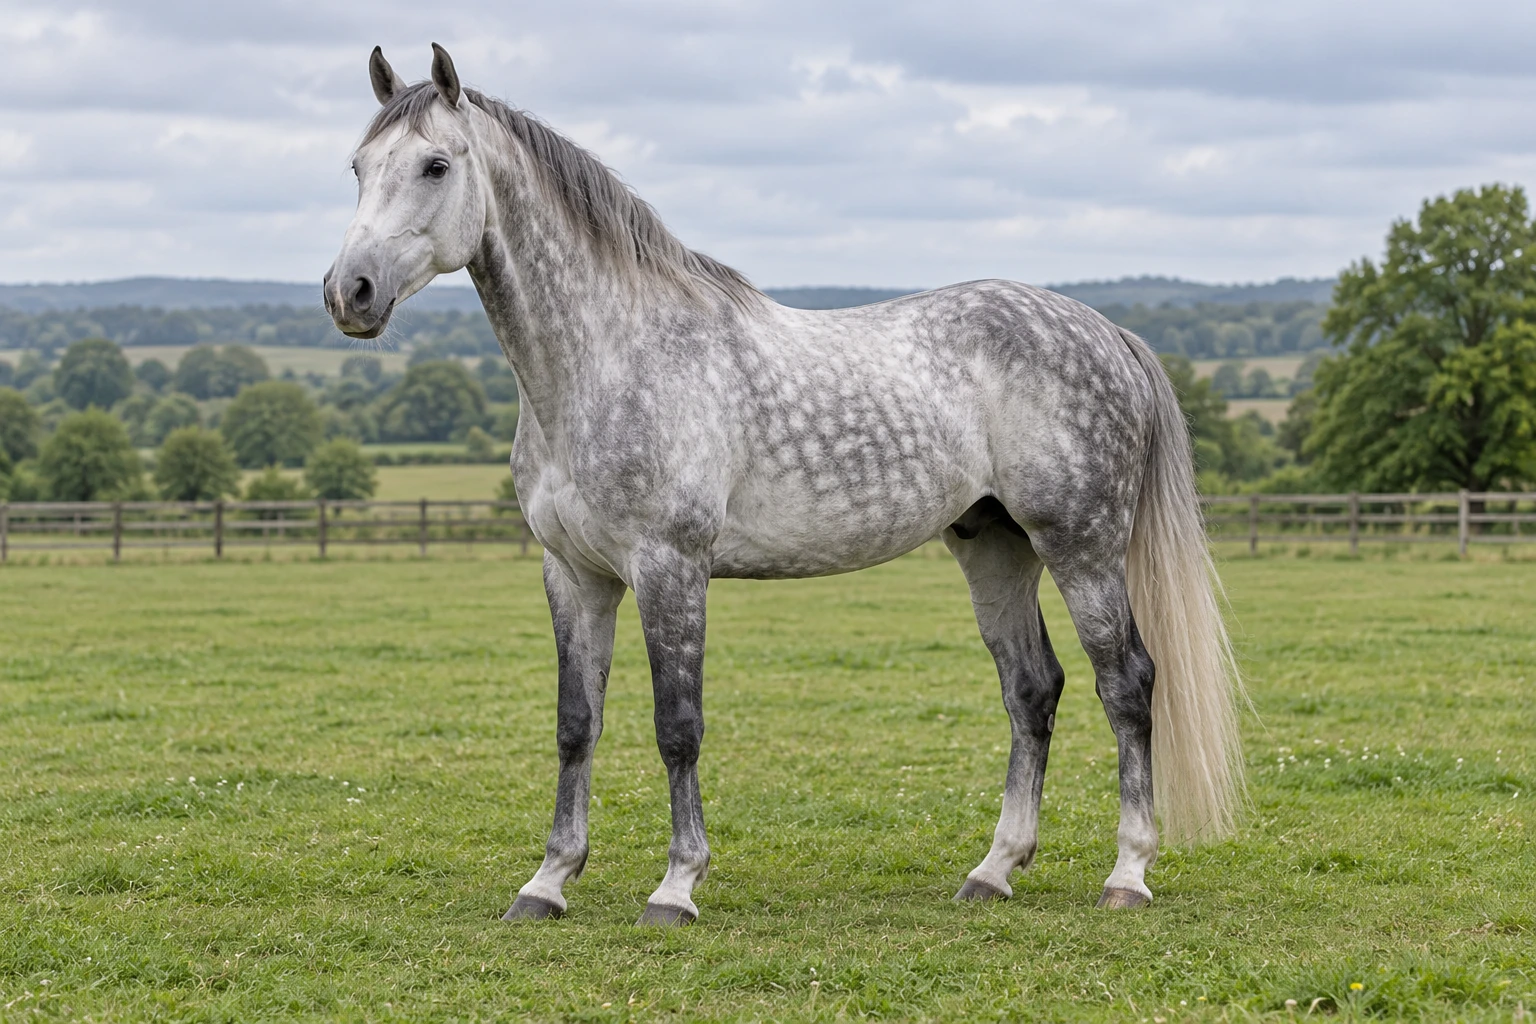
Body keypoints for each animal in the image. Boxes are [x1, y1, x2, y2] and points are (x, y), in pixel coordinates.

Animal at [325, 45, 1244, 927]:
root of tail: (1107, 330)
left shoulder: (670, 566)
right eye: (358, 168)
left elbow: (677, 726)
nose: (349, 292)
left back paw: (1127, 873)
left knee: (1127, 682)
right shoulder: (574, 574)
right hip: (995, 545)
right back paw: (994, 870)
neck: (609, 358)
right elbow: (575, 726)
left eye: (436, 165)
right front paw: (548, 882)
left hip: (1080, 544)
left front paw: (677, 886)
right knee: (1032, 689)